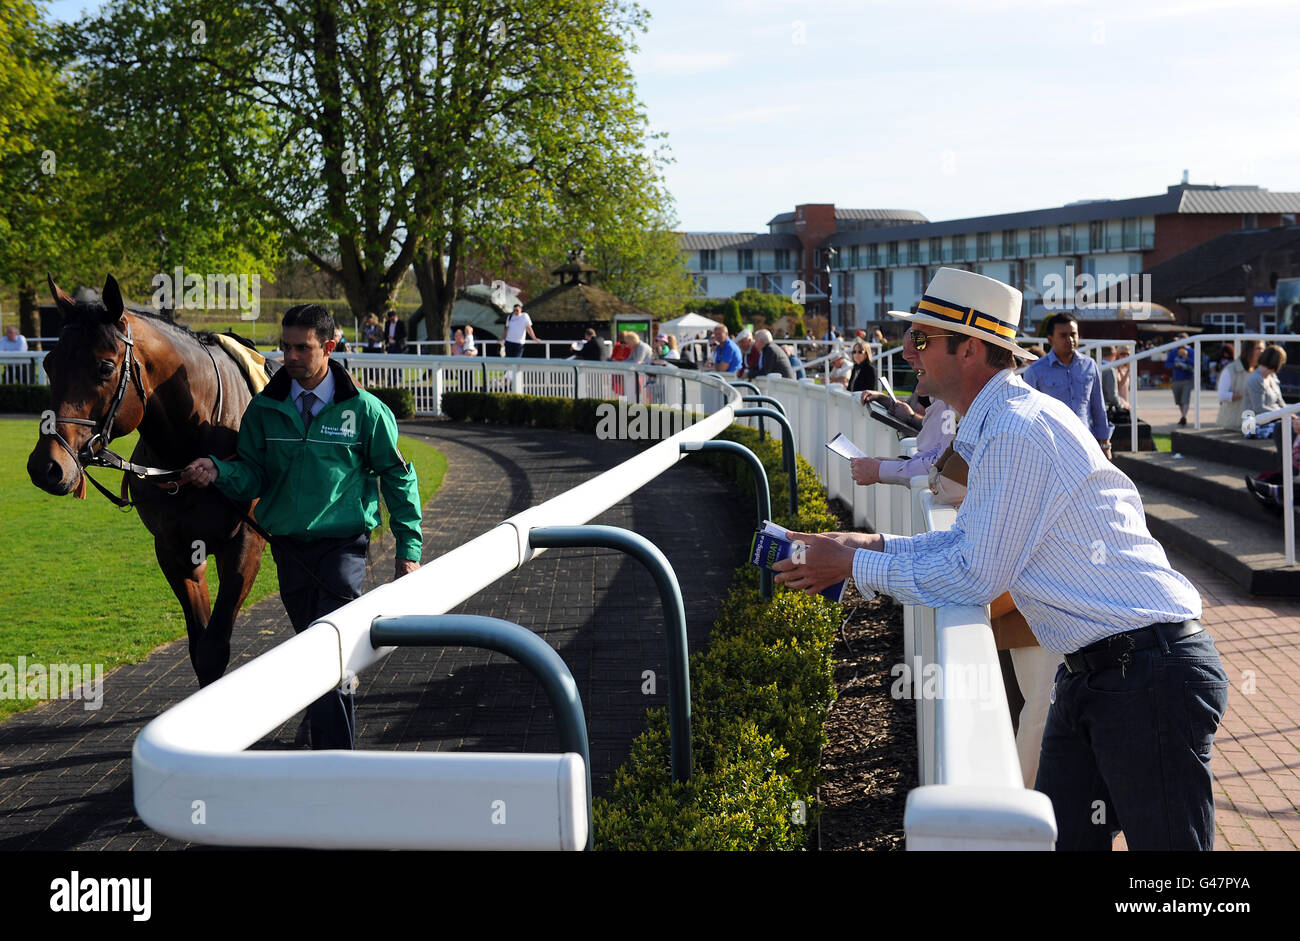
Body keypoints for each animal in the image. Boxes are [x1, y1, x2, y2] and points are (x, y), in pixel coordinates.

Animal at [26, 275, 266, 686]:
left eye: (105, 368)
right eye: (48, 362)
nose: (47, 466)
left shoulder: (245, 544)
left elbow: (215, 648)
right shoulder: (174, 549)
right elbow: (201, 650)